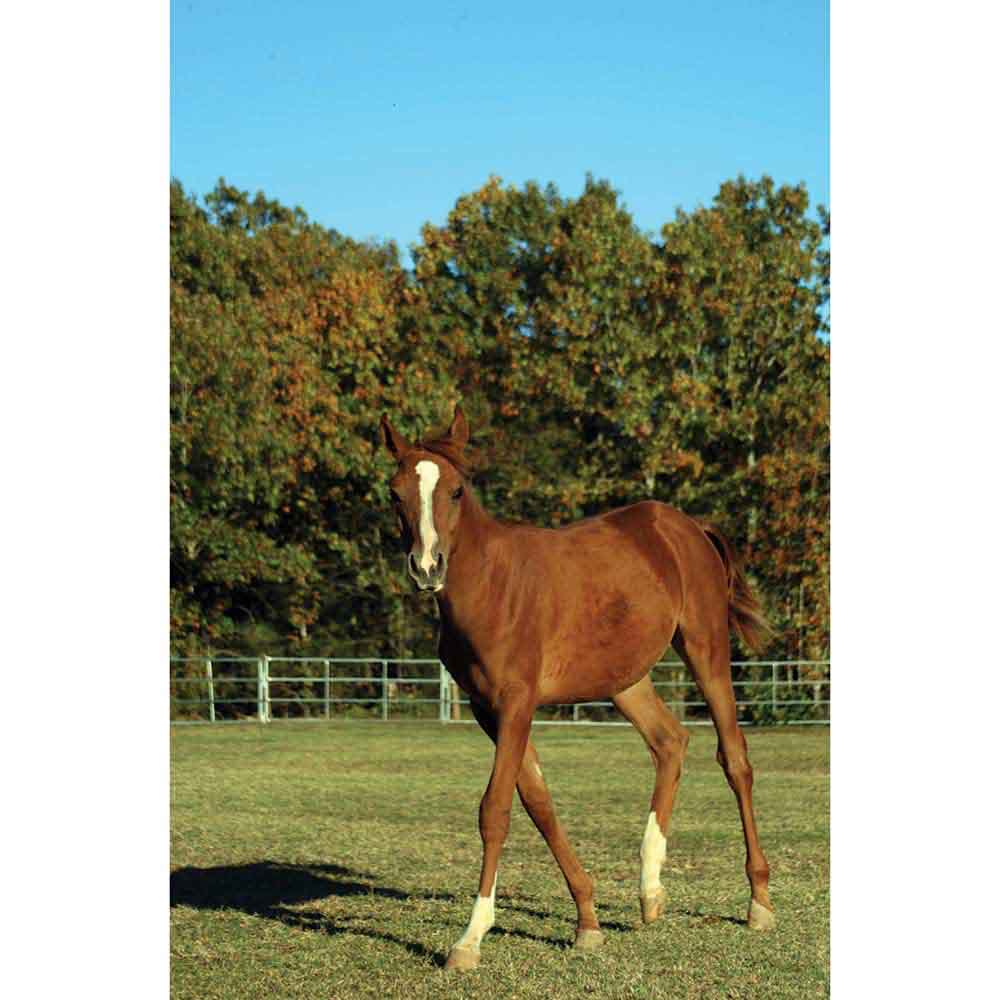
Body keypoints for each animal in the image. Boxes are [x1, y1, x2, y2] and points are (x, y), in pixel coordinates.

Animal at [379, 406, 775, 971]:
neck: (491, 585)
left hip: (706, 651)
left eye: (455, 490)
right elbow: (538, 802)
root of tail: (687, 528)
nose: (427, 567)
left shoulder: (516, 703)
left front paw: (470, 938)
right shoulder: (485, 709)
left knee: (735, 759)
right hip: (625, 680)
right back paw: (650, 891)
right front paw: (587, 921)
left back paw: (758, 902)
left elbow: (495, 810)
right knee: (670, 742)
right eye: (395, 493)